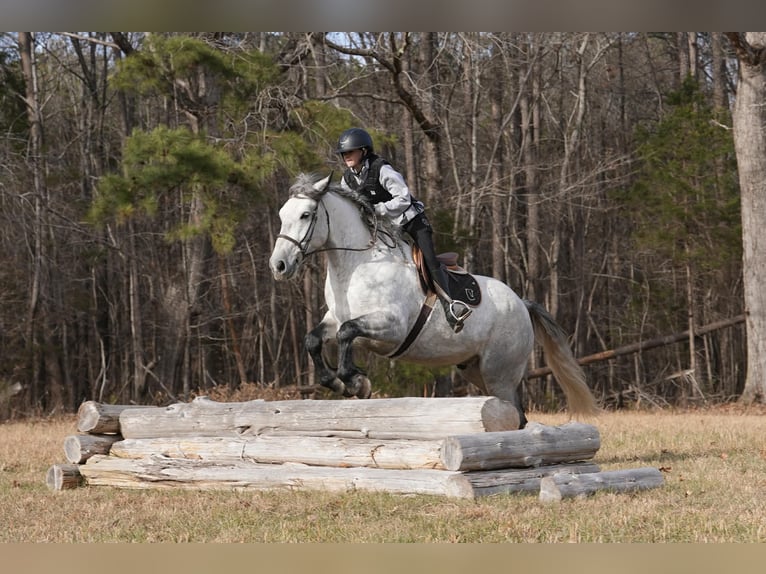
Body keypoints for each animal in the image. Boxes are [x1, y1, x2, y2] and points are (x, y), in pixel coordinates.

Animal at [268, 172, 599, 427]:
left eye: (306, 215)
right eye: (282, 215)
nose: (278, 266)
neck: (357, 265)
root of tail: (522, 304)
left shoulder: (392, 327)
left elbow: (347, 332)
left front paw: (357, 381)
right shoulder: (335, 319)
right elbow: (315, 339)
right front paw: (338, 382)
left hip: (500, 374)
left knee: (515, 412)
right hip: (475, 369)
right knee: (515, 414)